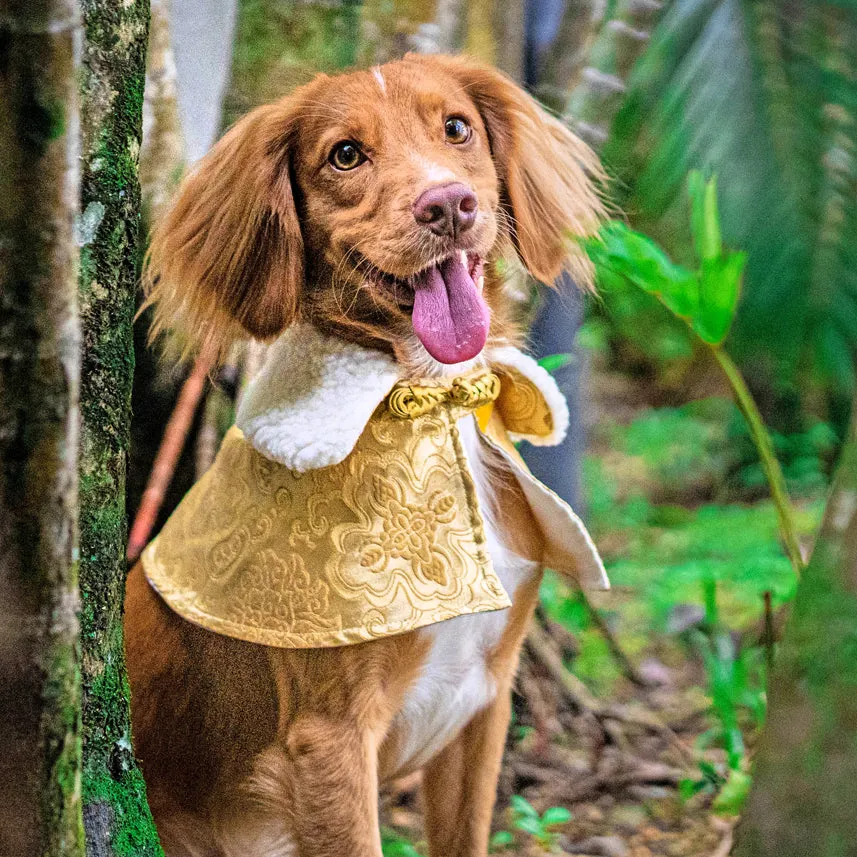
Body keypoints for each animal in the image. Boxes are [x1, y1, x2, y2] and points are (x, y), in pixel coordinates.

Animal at [125, 53, 608, 856]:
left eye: (456, 128)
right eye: (345, 155)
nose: (448, 205)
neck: (431, 397)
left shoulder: (485, 704)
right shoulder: (330, 739)